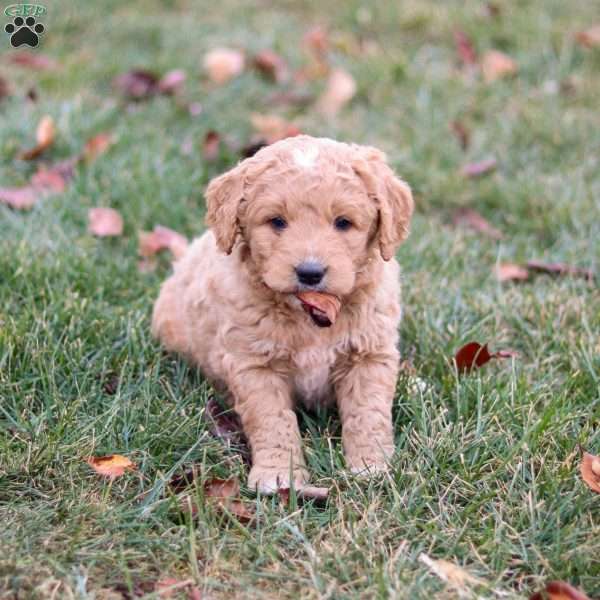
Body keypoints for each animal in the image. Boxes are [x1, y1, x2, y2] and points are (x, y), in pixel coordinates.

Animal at [151, 135, 412, 492]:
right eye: (276, 222)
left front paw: (370, 466)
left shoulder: (369, 356)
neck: (309, 313)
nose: (310, 272)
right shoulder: (254, 364)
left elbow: (368, 413)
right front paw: (277, 475)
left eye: (343, 223)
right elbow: (272, 419)